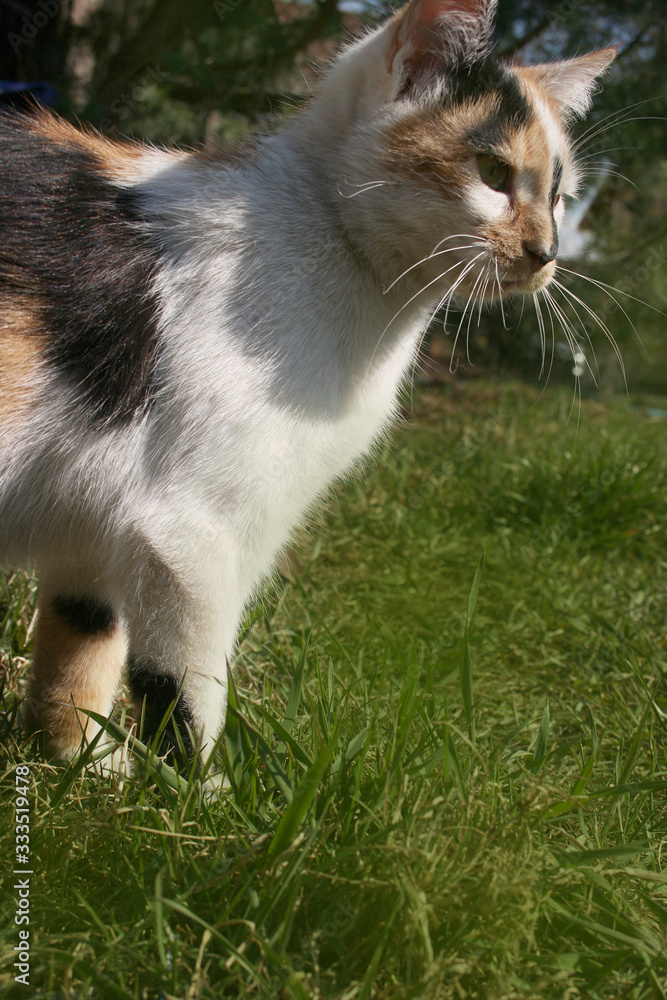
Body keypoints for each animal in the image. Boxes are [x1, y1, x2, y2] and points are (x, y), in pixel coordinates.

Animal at [0, 1, 616, 764]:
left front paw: (72, 764)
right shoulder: (190, 536)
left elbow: (82, 644)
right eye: (493, 171)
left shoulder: (92, 524)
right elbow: (187, 698)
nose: (547, 253)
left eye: (560, 197)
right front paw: (201, 792)